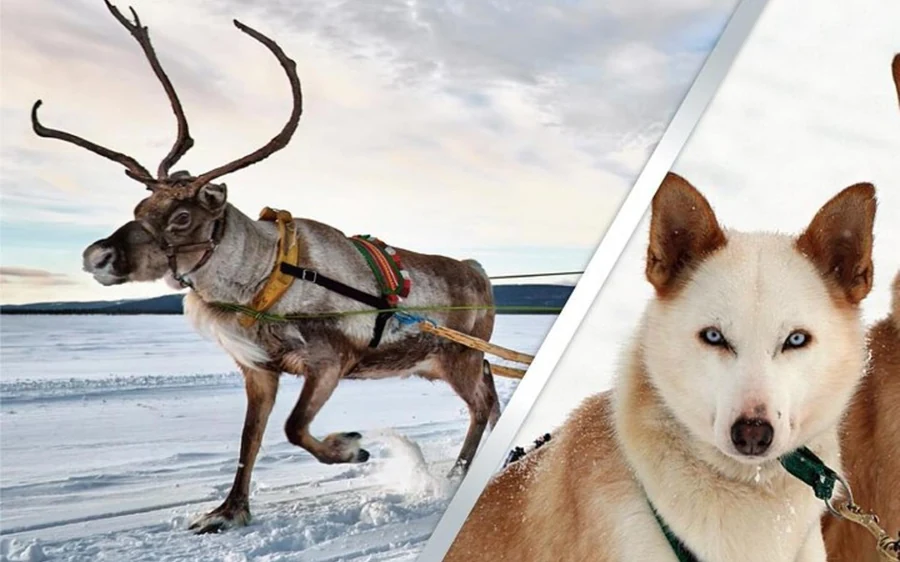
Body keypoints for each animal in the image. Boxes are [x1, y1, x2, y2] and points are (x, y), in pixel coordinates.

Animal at [32, 1, 500, 534]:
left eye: (181, 217)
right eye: (140, 205)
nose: (98, 256)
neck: (262, 279)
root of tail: (479, 272)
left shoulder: (330, 360)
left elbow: (294, 428)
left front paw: (351, 448)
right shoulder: (258, 369)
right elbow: (248, 440)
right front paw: (227, 512)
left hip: (457, 358)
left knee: (481, 404)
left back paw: (458, 475)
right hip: (446, 363)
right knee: (492, 392)